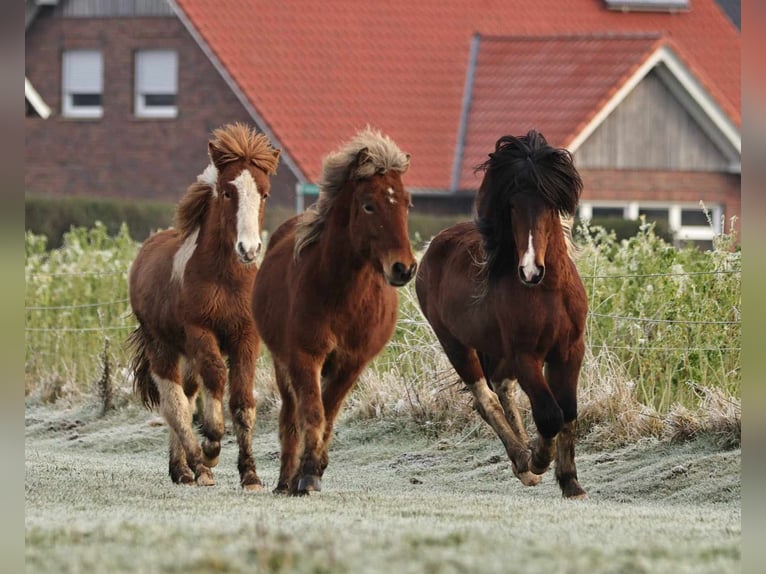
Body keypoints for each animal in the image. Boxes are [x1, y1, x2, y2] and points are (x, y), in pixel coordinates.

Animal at [127, 121, 280, 490]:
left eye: (264, 194)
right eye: (227, 192)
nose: (249, 249)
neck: (225, 278)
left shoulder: (246, 336)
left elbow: (242, 400)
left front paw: (250, 474)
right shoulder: (200, 332)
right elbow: (216, 377)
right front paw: (211, 446)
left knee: (187, 393)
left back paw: (184, 469)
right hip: (163, 346)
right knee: (175, 403)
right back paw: (196, 467)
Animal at [255, 127, 416, 496]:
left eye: (406, 203)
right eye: (369, 205)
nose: (404, 268)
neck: (342, 296)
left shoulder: (351, 364)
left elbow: (328, 415)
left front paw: (312, 471)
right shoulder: (304, 358)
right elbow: (312, 414)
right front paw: (304, 475)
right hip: (283, 365)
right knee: (290, 417)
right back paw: (285, 481)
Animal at [416, 130, 592, 500]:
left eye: (548, 204)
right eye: (512, 205)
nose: (530, 270)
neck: (548, 292)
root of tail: (435, 244)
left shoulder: (570, 351)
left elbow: (568, 411)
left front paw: (571, 482)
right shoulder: (526, 355)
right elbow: (549, 414)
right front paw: (539, 459)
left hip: (496, 351)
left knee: (502, 390)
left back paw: (523, 458)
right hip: (457, 344)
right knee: (486, 398)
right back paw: (523, 461)